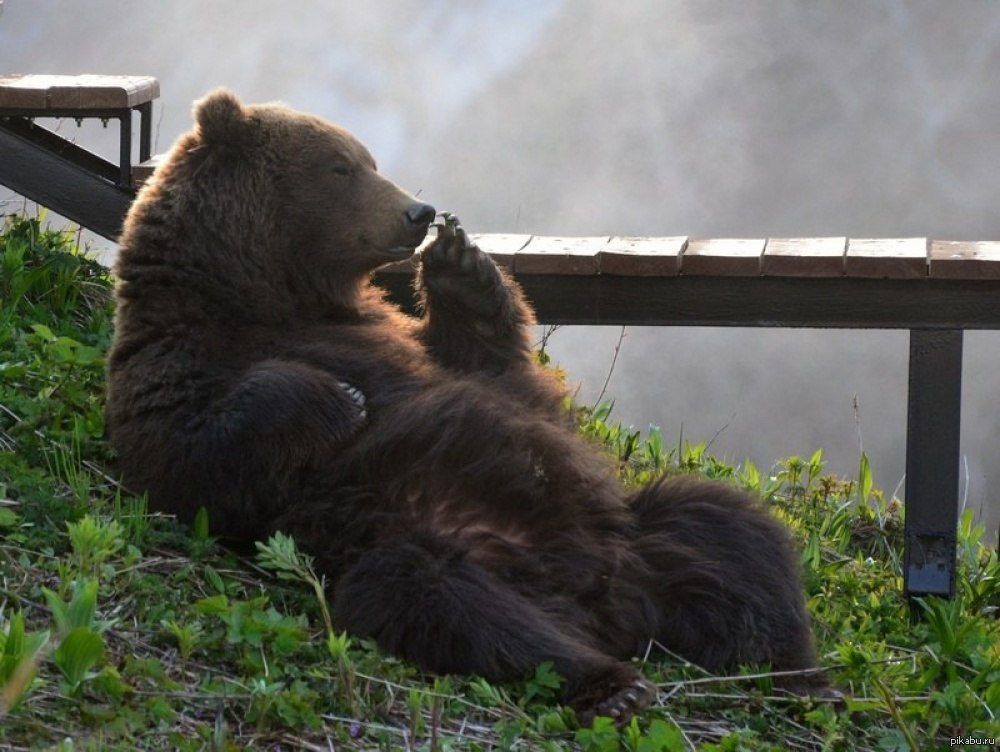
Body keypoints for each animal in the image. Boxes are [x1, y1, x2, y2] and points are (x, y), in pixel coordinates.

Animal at [107, 88, 828, 724]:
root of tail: (604, 602)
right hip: (422, 544)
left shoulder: (410, 344)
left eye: (369, 160)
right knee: (448, 603)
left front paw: (463, 266)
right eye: (341, 166)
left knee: (729, 529)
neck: (267, 293)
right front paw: (341, 399)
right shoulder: (172, 362)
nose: (418, 212)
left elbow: (501, 375)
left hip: (637, 533)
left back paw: (801, 674)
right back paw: (612, 685)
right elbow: (194, 462)